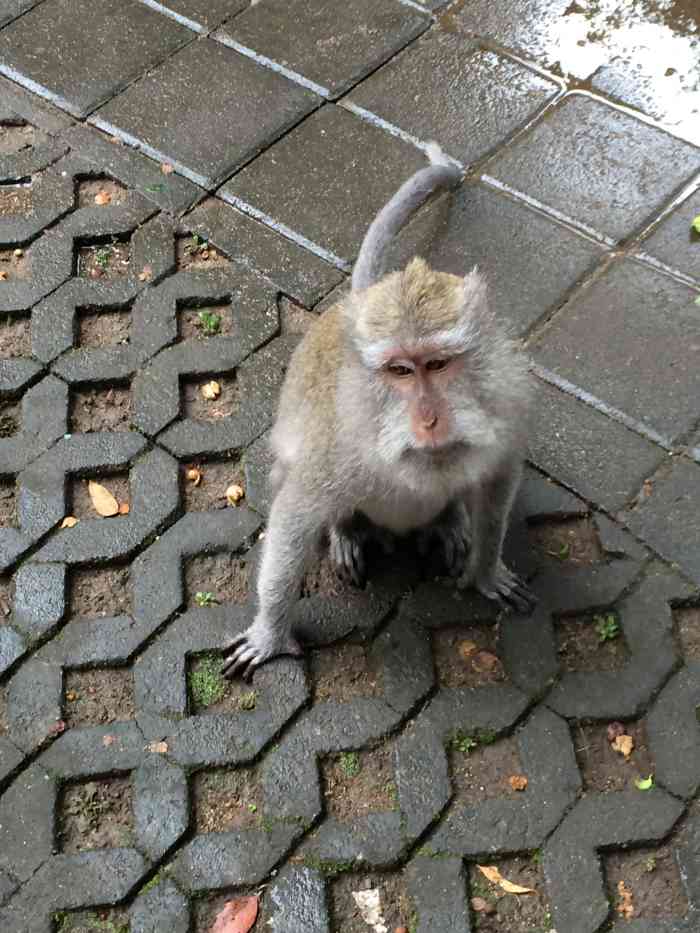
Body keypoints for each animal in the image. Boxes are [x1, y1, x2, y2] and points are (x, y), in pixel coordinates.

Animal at [223, 143, 536, 680]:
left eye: (437, 363)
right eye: (400, 371)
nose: (430, 420)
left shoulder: (507, 408)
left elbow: (497, 486)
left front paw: (484, 569)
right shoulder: (338, 447)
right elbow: (295, 515)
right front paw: (270, 632)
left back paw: (449, 521)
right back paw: (348, 531)